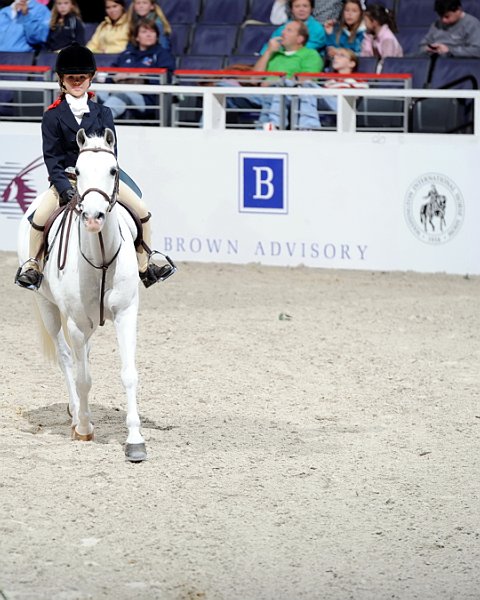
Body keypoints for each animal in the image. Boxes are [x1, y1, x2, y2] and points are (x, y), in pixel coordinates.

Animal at [17, 129, 146, 462]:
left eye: (113, 170)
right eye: (78, 169)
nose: (92, 217)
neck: (100, 257)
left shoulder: (126, 313)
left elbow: (129, 373)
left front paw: (135, 441)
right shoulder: (74, 322)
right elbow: (83, 378)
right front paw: (85, 429)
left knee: (82, 356)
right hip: (47, 307)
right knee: (67, 358)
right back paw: (76, 413)